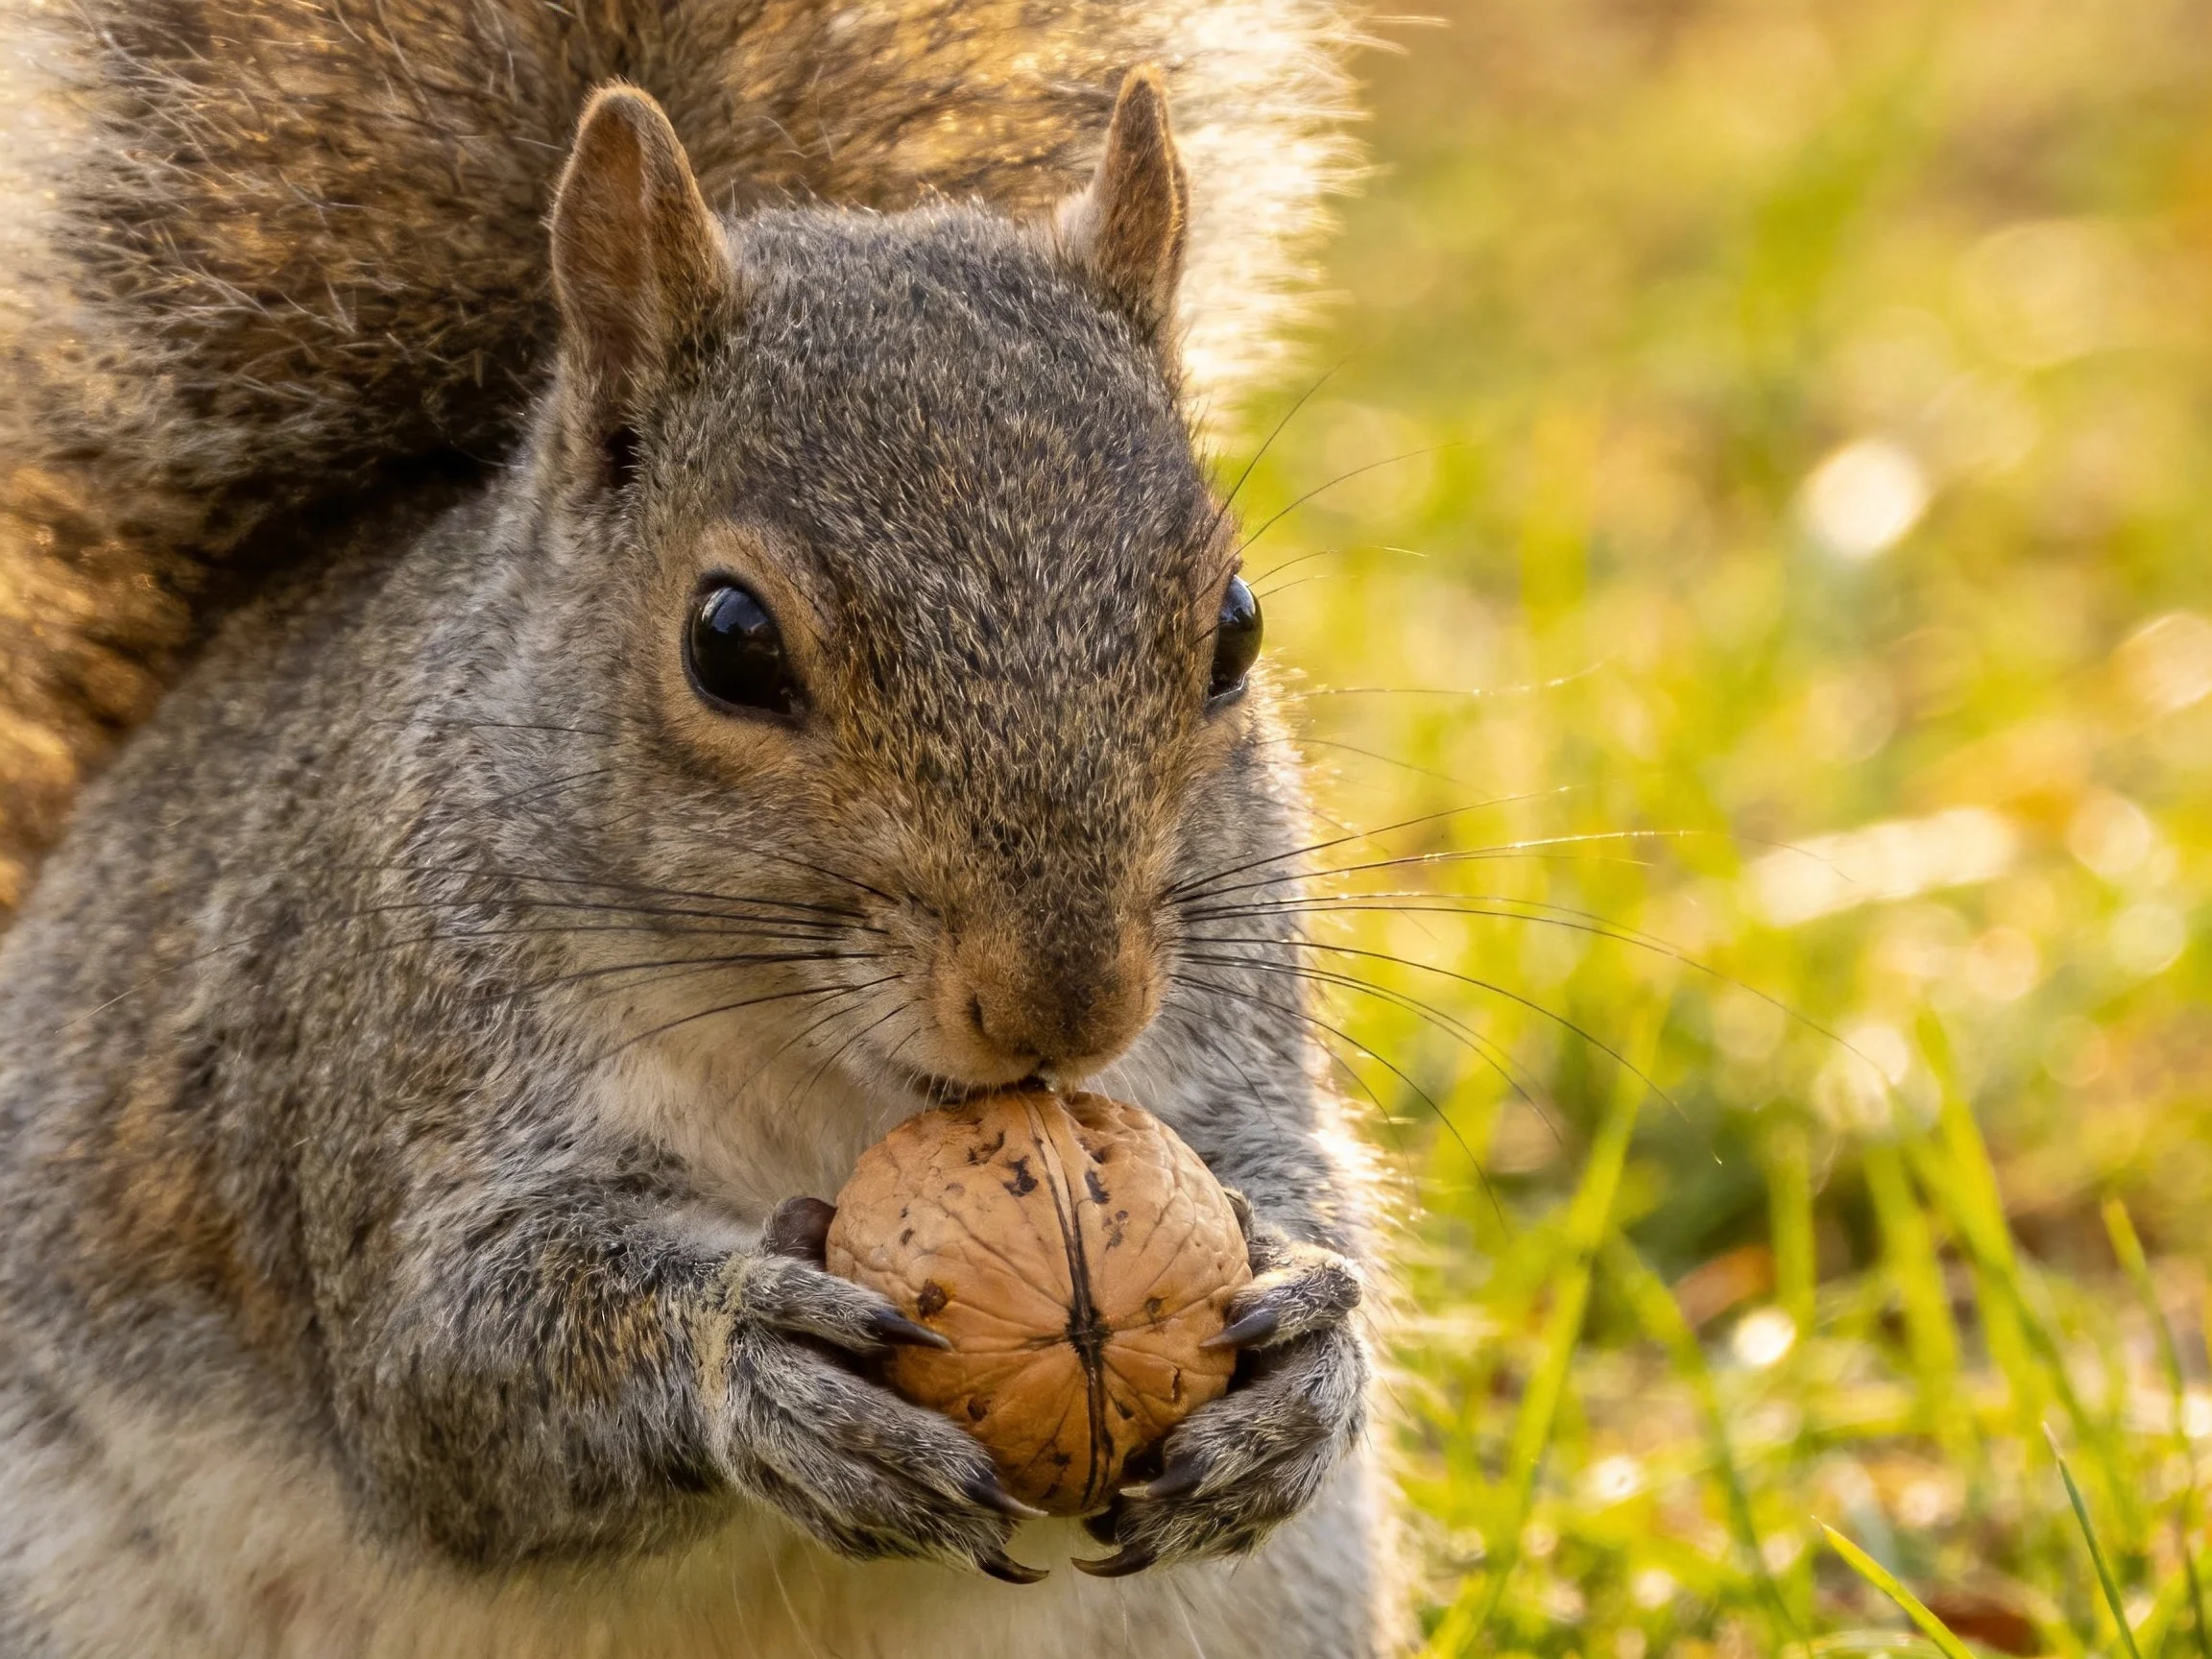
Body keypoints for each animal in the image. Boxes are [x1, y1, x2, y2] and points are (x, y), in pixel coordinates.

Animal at [0, 3, 1395, 1656]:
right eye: (729, 642)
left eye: (1237, 628)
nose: (1070, 1006)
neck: (825, 1070)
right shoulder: (390, 1065)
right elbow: (448, 1374)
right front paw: (751, 1355)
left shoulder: (1226, 1029)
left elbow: (1294, 1170)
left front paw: (1305, 1352)